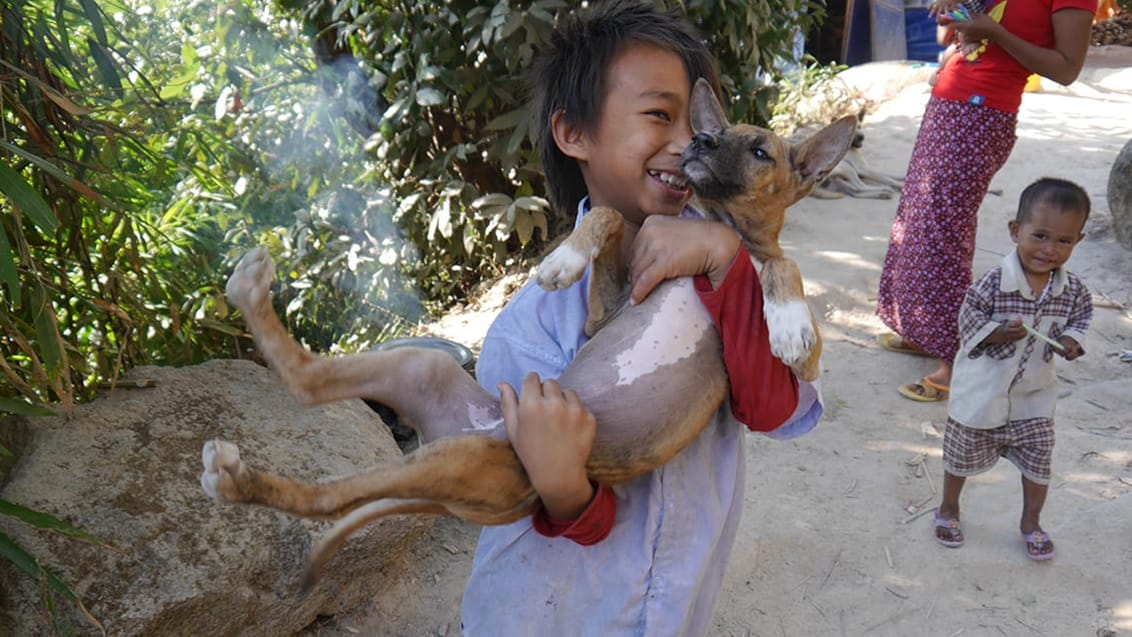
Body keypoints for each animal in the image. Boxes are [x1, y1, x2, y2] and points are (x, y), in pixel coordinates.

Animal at [199, 78, 851, 588]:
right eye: (715, 132)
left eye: (760, 150)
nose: (700, 141)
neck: (715, 227)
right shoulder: (604, 312)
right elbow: (609, 215)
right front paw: (563, 260)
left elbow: (782, 268)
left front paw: (792, 327)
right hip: (428, 383)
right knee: (312, 395)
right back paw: (248, 301)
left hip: (464, 451)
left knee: (324, 466)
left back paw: (237, 466)